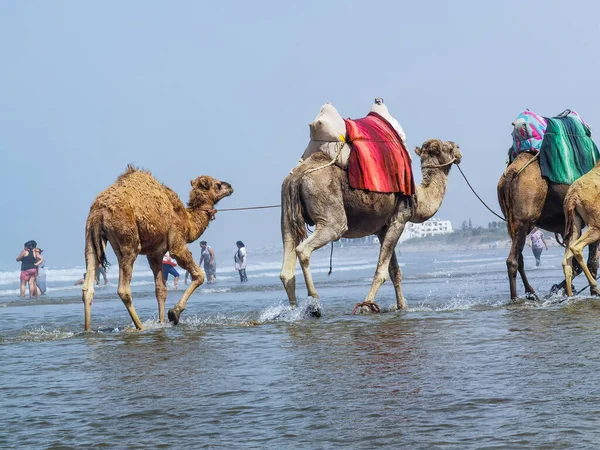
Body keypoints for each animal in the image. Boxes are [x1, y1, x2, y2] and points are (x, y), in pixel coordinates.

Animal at [83, 165, 233, 330]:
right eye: (218, 185)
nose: (230, 186)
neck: (187, 222)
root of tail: (100, 212)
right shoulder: (176, 240)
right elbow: (198, 275)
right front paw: (174, 313)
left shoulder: (155, 253)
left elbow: (161, 290)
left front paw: (162, 322)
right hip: (127, 239)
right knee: (123, 288)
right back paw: (141, 327)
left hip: (90, 237)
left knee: (88, 286)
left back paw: (88, 329)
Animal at [280, 101, 460, 312]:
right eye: (445, 148)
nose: (458, 149)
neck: (420, 198)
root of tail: (298, 175)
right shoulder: (399, 219)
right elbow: (381, 271)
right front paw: (366, 306)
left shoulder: (382, 229)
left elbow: (394, 271)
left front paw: (402, 307)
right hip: (329, 212)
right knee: (307, 247)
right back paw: (314, 304)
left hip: (286, 206)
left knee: (287, 260)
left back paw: (294, 310)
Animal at [564, 161, 600, 296]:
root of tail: (572, 195)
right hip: (596, 224)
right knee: (577, 247)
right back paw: (595, 287)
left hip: (574, 221)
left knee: (566, 260)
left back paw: (570, 296)